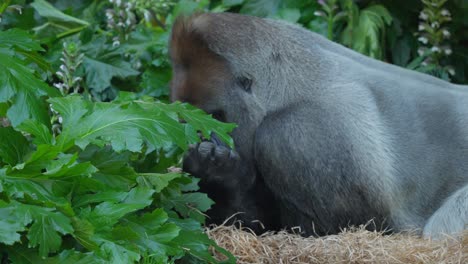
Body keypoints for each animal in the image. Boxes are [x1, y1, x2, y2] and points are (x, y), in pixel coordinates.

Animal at [168, 12, 468, 239]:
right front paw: (214, 175)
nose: (203, 137)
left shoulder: (298, 135)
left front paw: (218, 176)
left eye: (214, 117)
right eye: (186, 121)